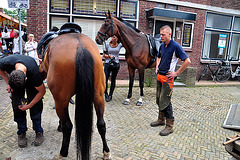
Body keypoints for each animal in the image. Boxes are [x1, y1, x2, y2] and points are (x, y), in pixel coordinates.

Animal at [39, 32, 110, 160]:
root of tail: (80, 47)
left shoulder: (61, 100)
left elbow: (64, 122)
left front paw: (59, 126)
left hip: (61, 99)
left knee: (68, 125)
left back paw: (62, 153)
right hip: (98, 95)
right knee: (101, 124)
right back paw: (106, 152)